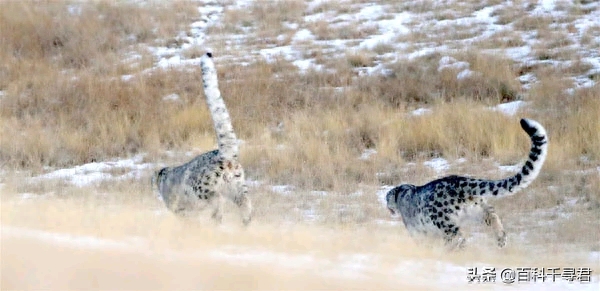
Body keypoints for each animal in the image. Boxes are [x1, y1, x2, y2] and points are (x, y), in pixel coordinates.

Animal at [154, 53, 252, 226]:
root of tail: (226, 158)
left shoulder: (180, 210)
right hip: (237, 186)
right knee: (245, 201)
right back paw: (245, 222)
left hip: (204, 188)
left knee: (217, 199)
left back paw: (217, 218)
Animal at [384, 118, 548, 249]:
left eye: (386, 199)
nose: (387, 207)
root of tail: (463, 182)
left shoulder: (416, 231)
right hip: (478, 209)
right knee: (492, 216)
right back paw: (501, 239)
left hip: (443, 220)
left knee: (458, 236)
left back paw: (455, 249)